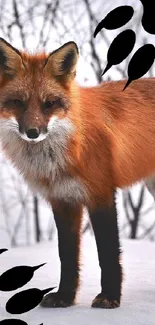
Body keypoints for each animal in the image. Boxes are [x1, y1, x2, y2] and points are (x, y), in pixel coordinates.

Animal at [0, 36, 154, 308]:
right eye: (18, 102)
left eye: (49, 104)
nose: (32, 132)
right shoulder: (63, 200)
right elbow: (67, 256)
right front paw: (64, 297)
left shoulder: (101, 194)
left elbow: (107, 253)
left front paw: (110, 297)